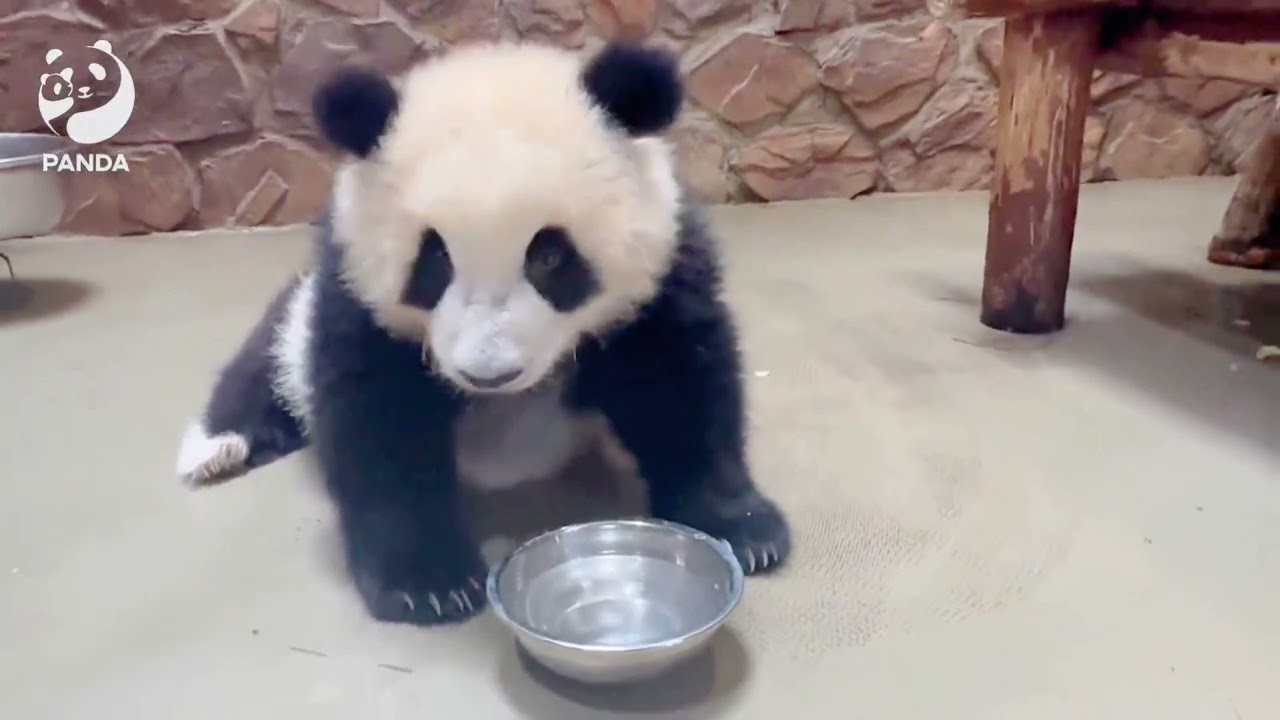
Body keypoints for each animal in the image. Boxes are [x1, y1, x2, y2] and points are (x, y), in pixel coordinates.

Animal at [175, 40, 791, 626]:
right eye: (435, 260)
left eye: (549, 256)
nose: (489, 372)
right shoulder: (355, 296)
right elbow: (380, 426)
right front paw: (427, 585)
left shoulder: (659, 278)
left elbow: (680, 390)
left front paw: (744, 531)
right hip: (297, 318)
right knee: (268, 357)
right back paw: (217, 445)